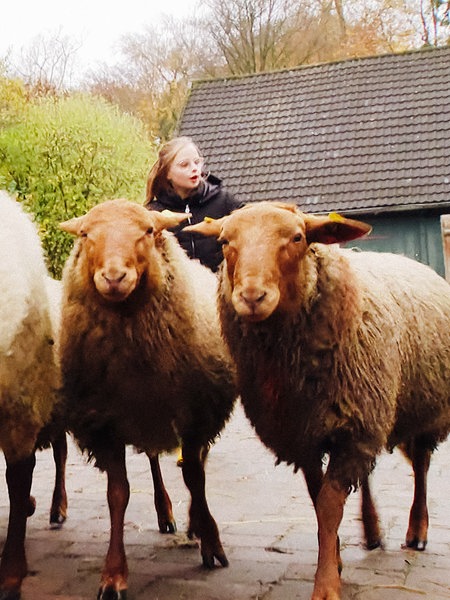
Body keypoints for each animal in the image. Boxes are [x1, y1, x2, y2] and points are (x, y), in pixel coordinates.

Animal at [59, 199, 239, 596]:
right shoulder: (105, 423)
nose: (113, 277)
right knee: (156, 460)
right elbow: (118, 494)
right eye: (86, 234)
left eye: (147, 231)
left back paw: (193, 522)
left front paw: (211, 542)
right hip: (147, 417)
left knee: (196, 466)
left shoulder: (194, 413)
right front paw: (113, 574)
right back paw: (165, 511)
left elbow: (195, 478)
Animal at [185, 202, 450, 600]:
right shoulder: (305, 432)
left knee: (420, 466)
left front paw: (326, 583)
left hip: (423, 409)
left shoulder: (350, 429)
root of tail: (411, 261)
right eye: (224, 241)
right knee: (368, 475)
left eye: (297, 237)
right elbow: (318, 497)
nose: (251, 297)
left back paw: (416, 530)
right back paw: (372, 530)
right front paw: (336, 557)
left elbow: (327, 507)